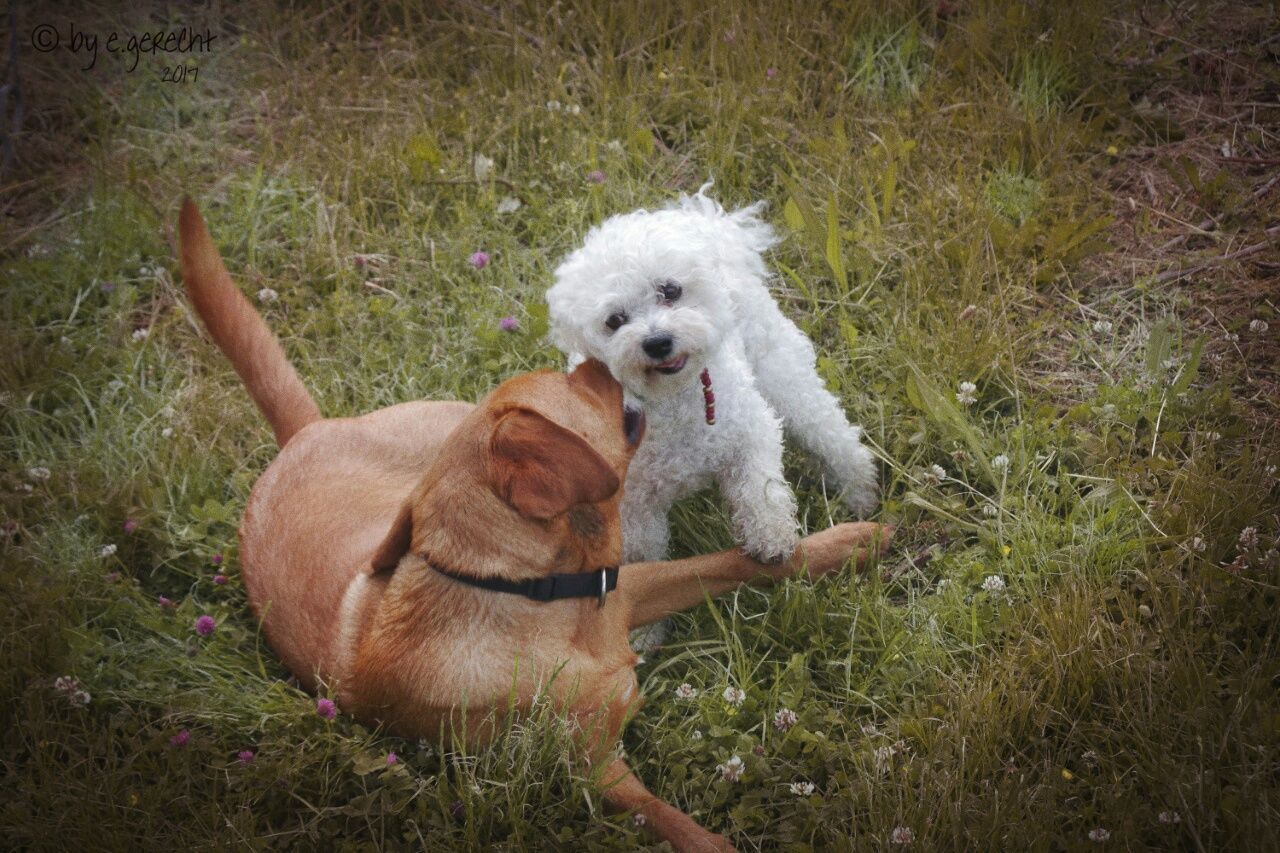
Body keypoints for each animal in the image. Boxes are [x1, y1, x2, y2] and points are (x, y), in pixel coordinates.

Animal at [545, 185, 875, 571]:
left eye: (670, 290)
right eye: (614, 320)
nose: (657, 342)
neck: (674, 401)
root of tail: (712, 228)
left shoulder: (750, 434)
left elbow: (760, 490)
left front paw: (771, 538)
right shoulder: (632, 505)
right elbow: (643, 553)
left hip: (783, 374)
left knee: (831, 431)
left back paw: (860, 490)